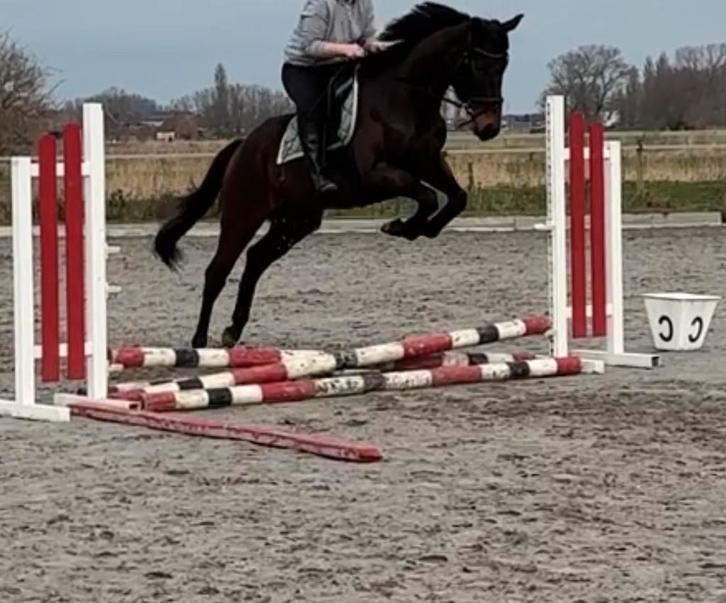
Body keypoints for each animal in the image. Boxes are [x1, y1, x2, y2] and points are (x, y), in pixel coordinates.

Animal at [154, 2, 523, 349]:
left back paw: (233, 330)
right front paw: (401, 227)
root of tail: (243, 145)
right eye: (477, 65)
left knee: (256, 259)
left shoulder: (429, 163)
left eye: (504, 65)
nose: (489, 127)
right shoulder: (377, 176)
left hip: (297, 219)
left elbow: (457, 196)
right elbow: (427, 196)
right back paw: (200, 342)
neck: (405, 99)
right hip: (243, 212)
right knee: (218, 269)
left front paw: (423, 229)